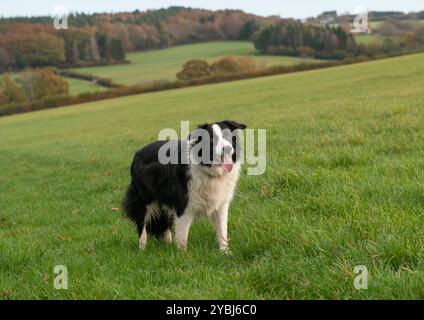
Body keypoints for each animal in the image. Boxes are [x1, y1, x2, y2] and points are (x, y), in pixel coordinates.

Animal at [122, 120, 247, 252]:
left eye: (228, 136)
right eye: (212, 139)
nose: (228, 149)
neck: (210, 171)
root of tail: (138, 153)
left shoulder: (221, 204)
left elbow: (222, 231)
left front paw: (225, 252)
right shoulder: (183, 205)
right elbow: (183, 236)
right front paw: (183, 254)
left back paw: (168, 243)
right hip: (143, 200)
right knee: (142, 225)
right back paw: (142, 249)